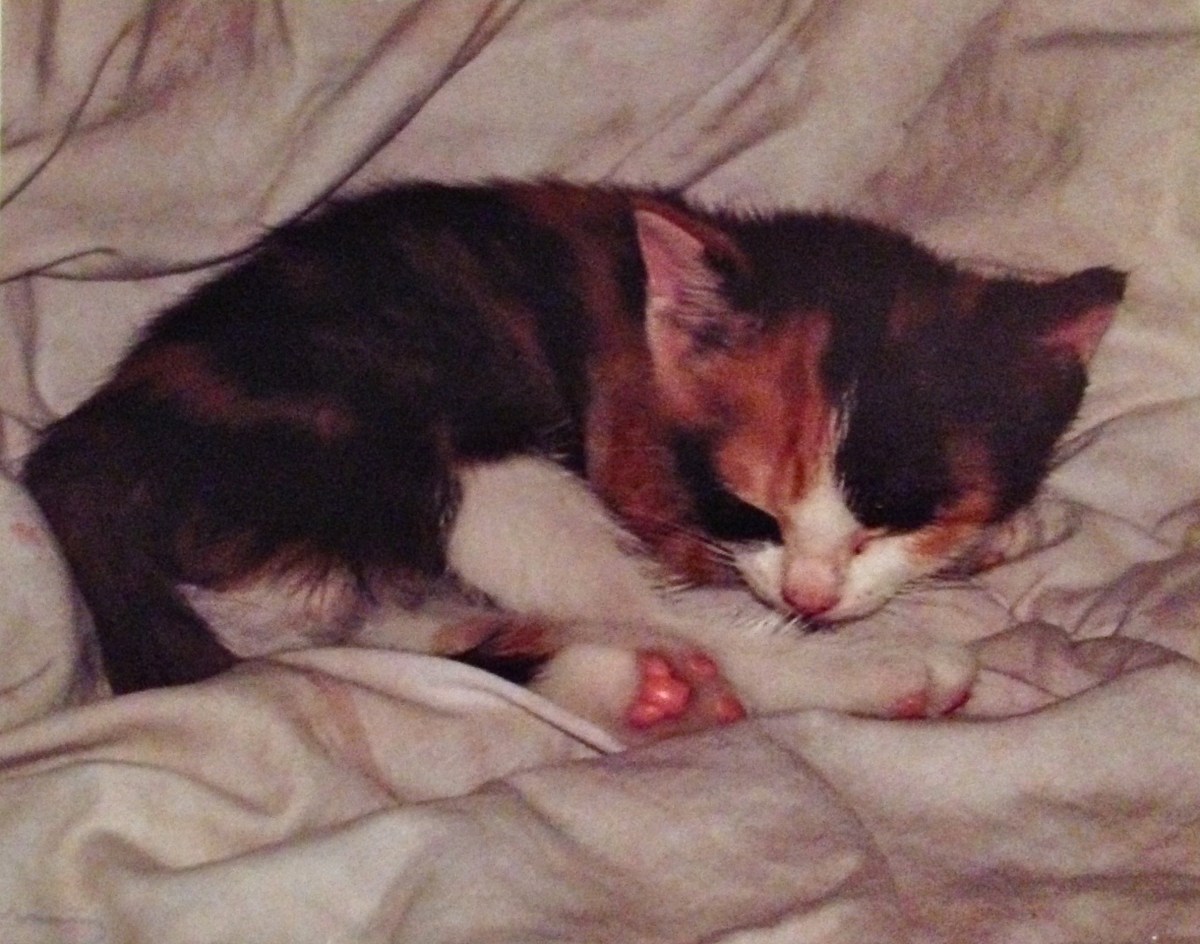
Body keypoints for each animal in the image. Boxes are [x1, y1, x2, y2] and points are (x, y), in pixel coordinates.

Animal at [22, 180, 1125, 743]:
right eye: (749, 507)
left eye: (899, 516)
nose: (812, 599)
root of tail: (78, 450)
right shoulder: (628, 463)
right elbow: (693, 587)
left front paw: (1014, 526)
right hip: (431, 443)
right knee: (636, 608)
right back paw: (871, 675)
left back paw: (626, 683)